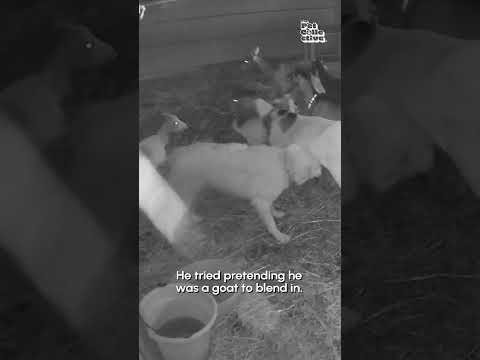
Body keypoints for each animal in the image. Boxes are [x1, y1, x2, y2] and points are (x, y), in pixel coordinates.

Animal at [165, 142, 318, 243]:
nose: (319, 174)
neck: (282, 162)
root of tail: (177, 154)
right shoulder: (260, 201)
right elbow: (270, 222)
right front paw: (279, 236)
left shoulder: (265, 198)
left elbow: (272, 208)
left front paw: (277, 213)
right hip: (186, 189)